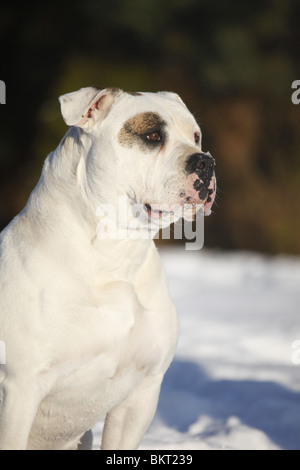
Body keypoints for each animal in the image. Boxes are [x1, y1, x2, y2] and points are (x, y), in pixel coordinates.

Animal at [0, 86, 216, 450]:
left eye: (196, 136)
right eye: (152, 135)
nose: (206, 161)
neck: (115, 255)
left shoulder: (141, 393)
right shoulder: (19, 391)